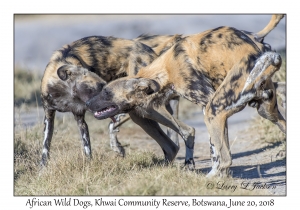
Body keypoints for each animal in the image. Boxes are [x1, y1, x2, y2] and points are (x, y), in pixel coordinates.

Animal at [39, 34, 183, 166]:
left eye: (104, 87)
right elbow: (46, 147)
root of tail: (150, 50)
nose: (90, 103)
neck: (64, 93)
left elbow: (87, 149)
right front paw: (42, 169)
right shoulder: (52, 116)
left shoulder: (80, 117)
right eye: (98, 87)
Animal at [86, 13, 286, 176]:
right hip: (265, 111)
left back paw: (209, 178)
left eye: (107, 91)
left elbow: (215, 151)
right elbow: (215, 147)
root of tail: (258, 45)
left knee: (225, 157)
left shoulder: (208, 105)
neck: (165, 69)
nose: (87, 103)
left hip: (213, 109)